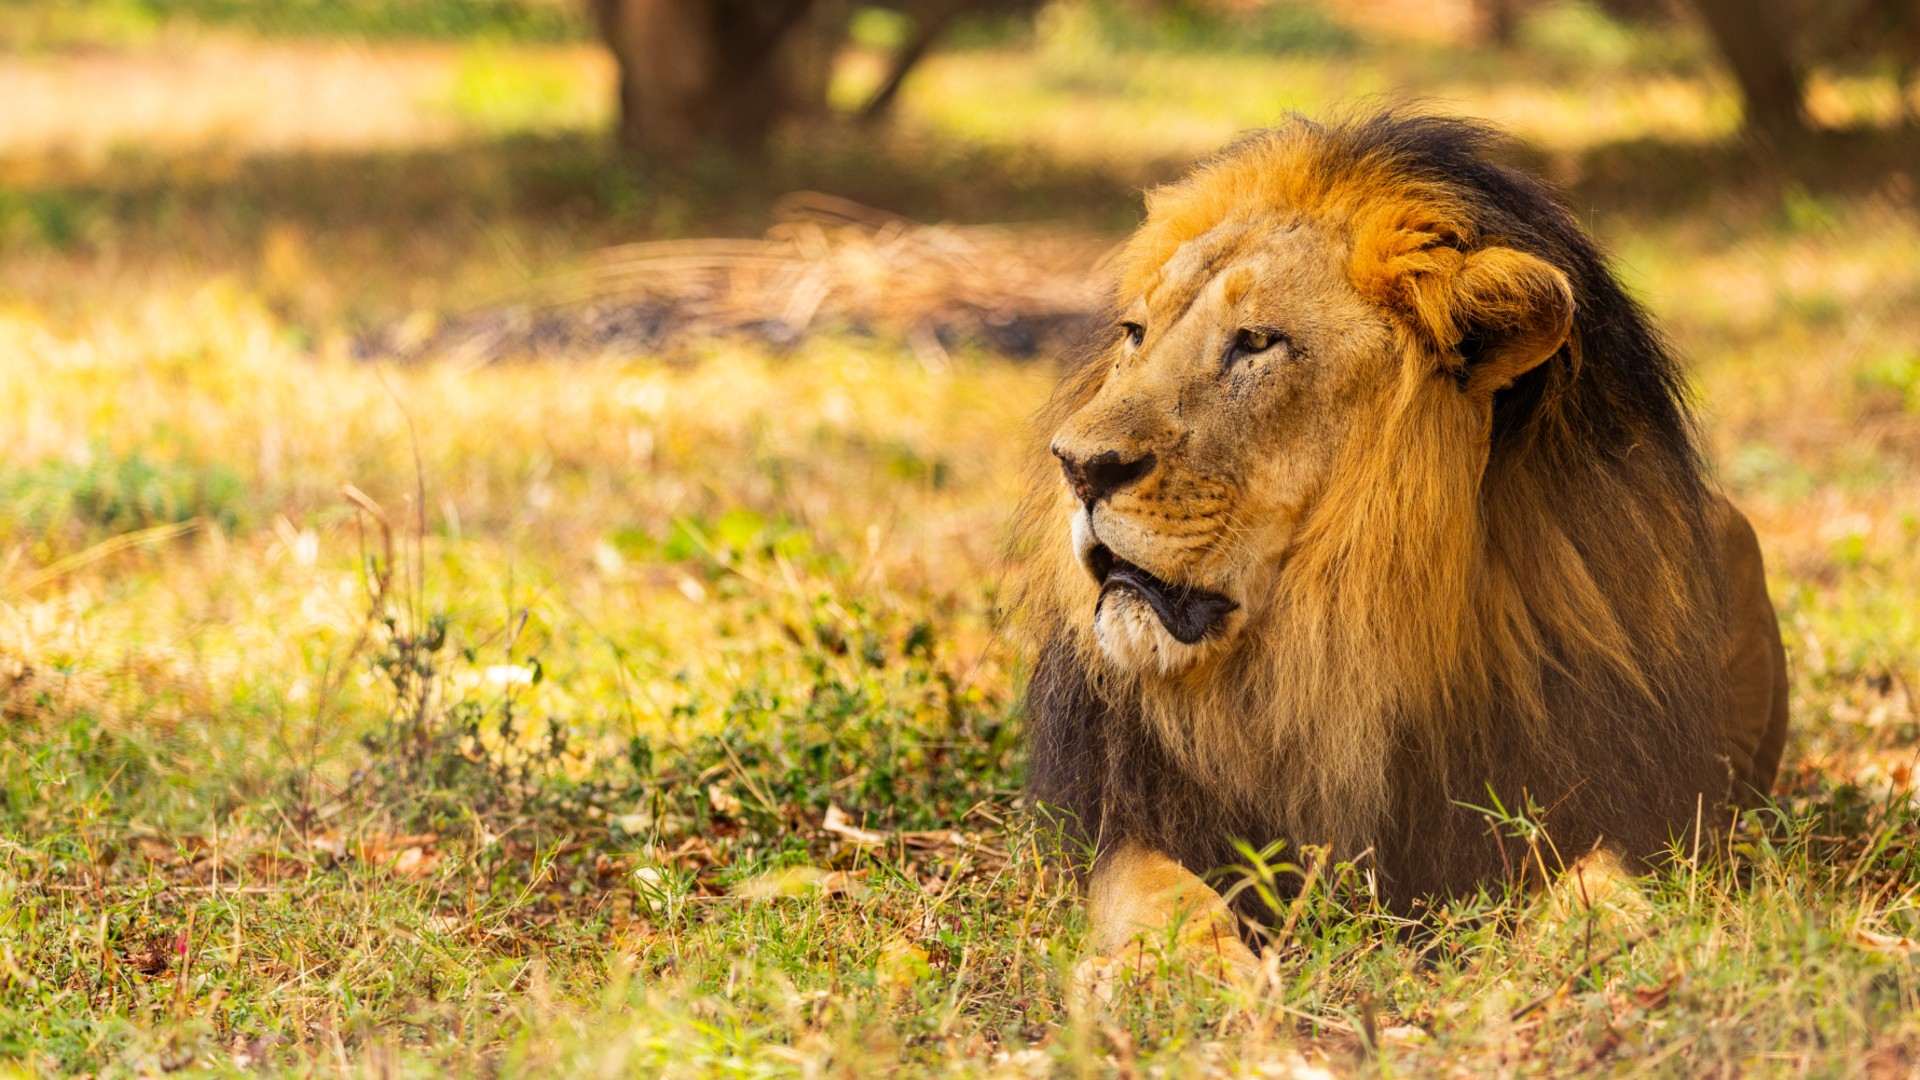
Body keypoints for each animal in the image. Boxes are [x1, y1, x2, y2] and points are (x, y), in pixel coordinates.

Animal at [1008, 111, 1790, 981]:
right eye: (1135, 335)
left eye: (1257, 342)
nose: (1078, 465)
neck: (1334, 644)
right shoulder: (1126, 810)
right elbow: (1156, 890)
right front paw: (1193, 973)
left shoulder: (1609, 791)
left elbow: (1608, 875)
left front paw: (1611, 948)